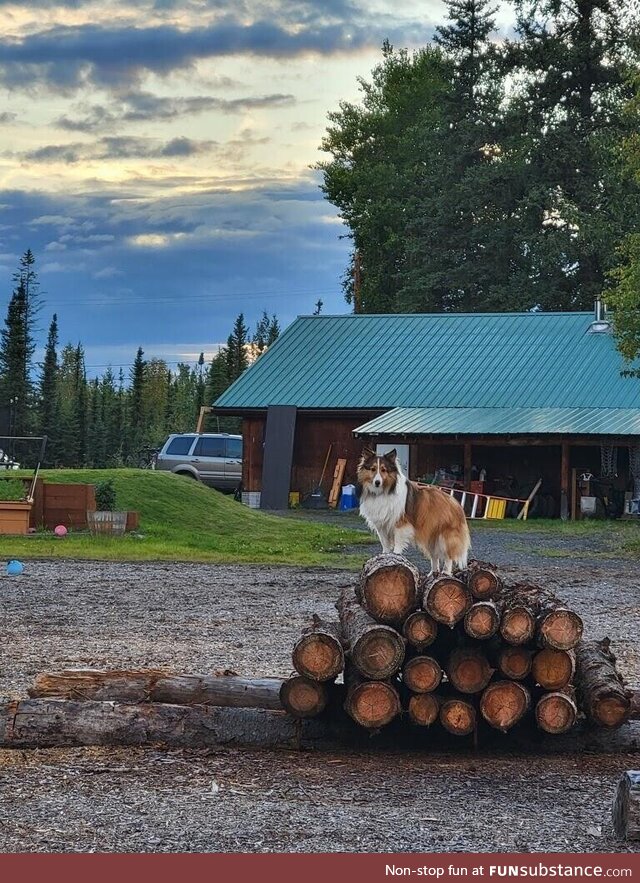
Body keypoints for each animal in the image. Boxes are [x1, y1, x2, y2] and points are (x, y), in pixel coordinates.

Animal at [356, 446, 470, 576]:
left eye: (384, 470)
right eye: (373, 469)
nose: (377, 482)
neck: (384, 492)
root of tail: (456, 503)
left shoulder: (400, 525)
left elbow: (397, 544)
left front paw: (396, 556)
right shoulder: (382, 526)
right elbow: (385, 544)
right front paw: (383, 558)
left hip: (445, 536)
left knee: (448, 556)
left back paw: (445, 573)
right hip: (432, 536)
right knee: (434, 556)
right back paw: (432, 574)